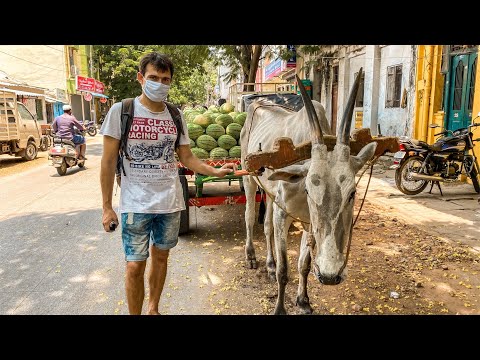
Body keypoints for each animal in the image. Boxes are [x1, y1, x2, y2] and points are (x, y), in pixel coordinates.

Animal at [239, 69, 376, 314]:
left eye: (352, 193)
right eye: (309, 190)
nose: (331, 275)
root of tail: (259, 103)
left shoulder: (308, 222)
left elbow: (303, 264)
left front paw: (303, 300)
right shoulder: (284, 215)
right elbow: (285, 270)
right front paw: (280, 308)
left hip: (271, 194)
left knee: (266, 225)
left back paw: (270, 264)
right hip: (249, 179)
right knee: (250, 217)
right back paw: (251, 256)